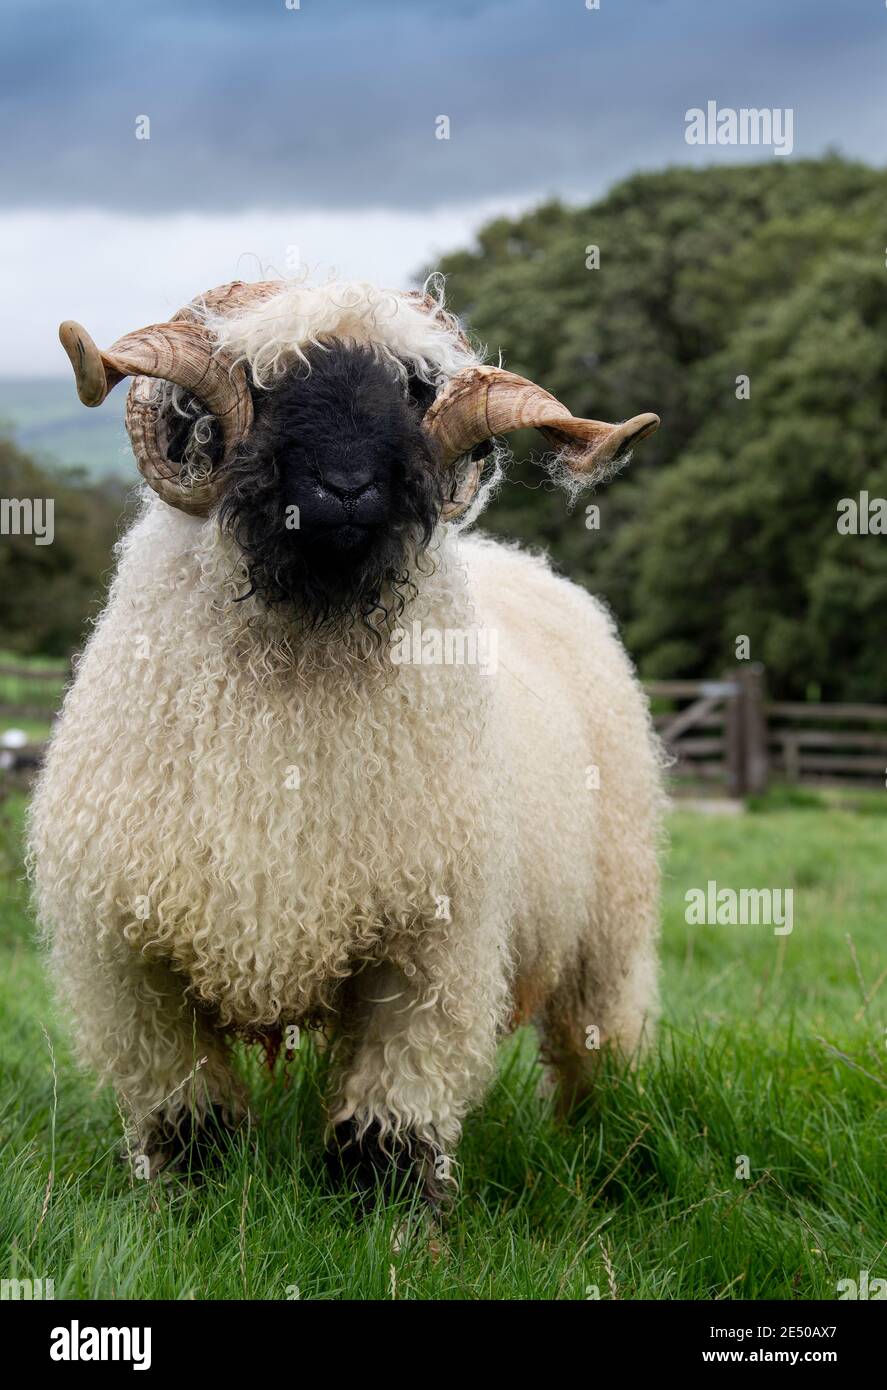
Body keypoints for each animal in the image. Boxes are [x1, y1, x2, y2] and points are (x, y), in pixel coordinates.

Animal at [29, 273, 667, 1206]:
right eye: (260, 382)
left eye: (414, 389)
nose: (346, 487)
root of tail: (526, 564)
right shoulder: (128, 957)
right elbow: (185, 1114)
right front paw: (189, 1204)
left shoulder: (430, 946)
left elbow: (394, 1115)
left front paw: (390, 1220)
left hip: (607, 926)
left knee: (599, 1039)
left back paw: (603, 1146)